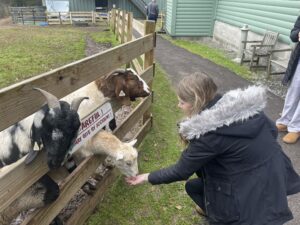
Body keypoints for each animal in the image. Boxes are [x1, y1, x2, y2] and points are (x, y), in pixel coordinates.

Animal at [0, 88, 86, 225]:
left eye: (74, 130)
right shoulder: (26, 177)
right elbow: (54, 191)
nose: (55, 162)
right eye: (47, 126)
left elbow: (75, 172)